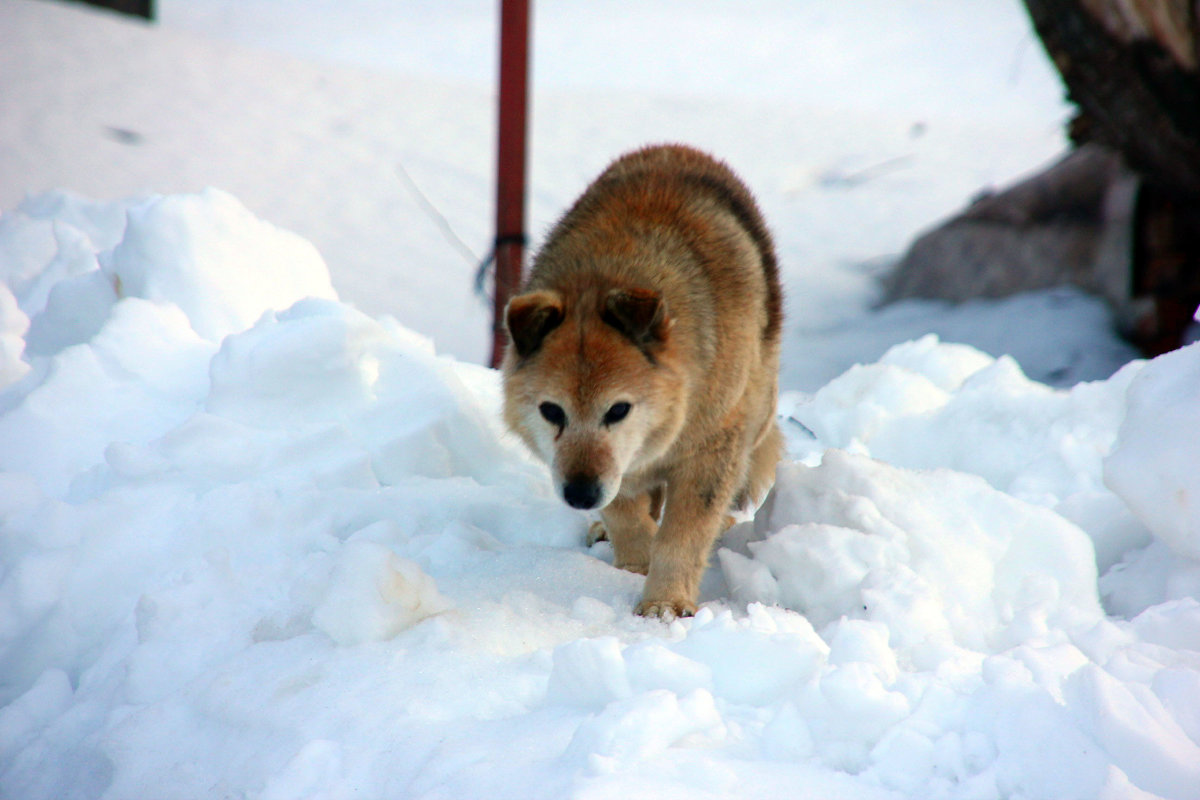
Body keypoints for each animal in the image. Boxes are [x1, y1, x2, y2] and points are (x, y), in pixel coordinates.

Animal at [501, 143, 782, 618]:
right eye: (551, 411)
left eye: (618, 410)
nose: (580, 494)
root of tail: (677, 148)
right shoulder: (617, 470)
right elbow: (627, 516)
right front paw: (635, 564)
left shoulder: (711, 451)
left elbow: (684, 533)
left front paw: (665, 603)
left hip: (757, 411)